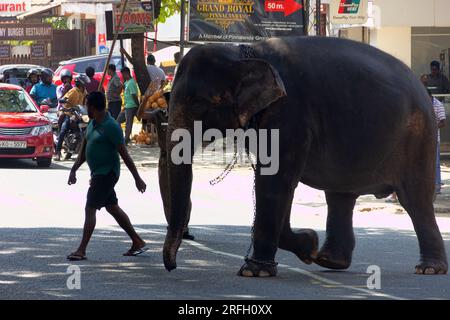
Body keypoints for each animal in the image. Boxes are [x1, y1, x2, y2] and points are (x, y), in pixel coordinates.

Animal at [162, 34, 446, 276]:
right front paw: (308, 244)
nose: (173, 267)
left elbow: (275, 181)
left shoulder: (289, 114)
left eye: (199, 103)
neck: (245, 52)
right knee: (340, 196)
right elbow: (278, 182)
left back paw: (429, 269)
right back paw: (329, 260)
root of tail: (422, 86)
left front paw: (256, 271)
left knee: (414, 199)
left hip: (419, 138)